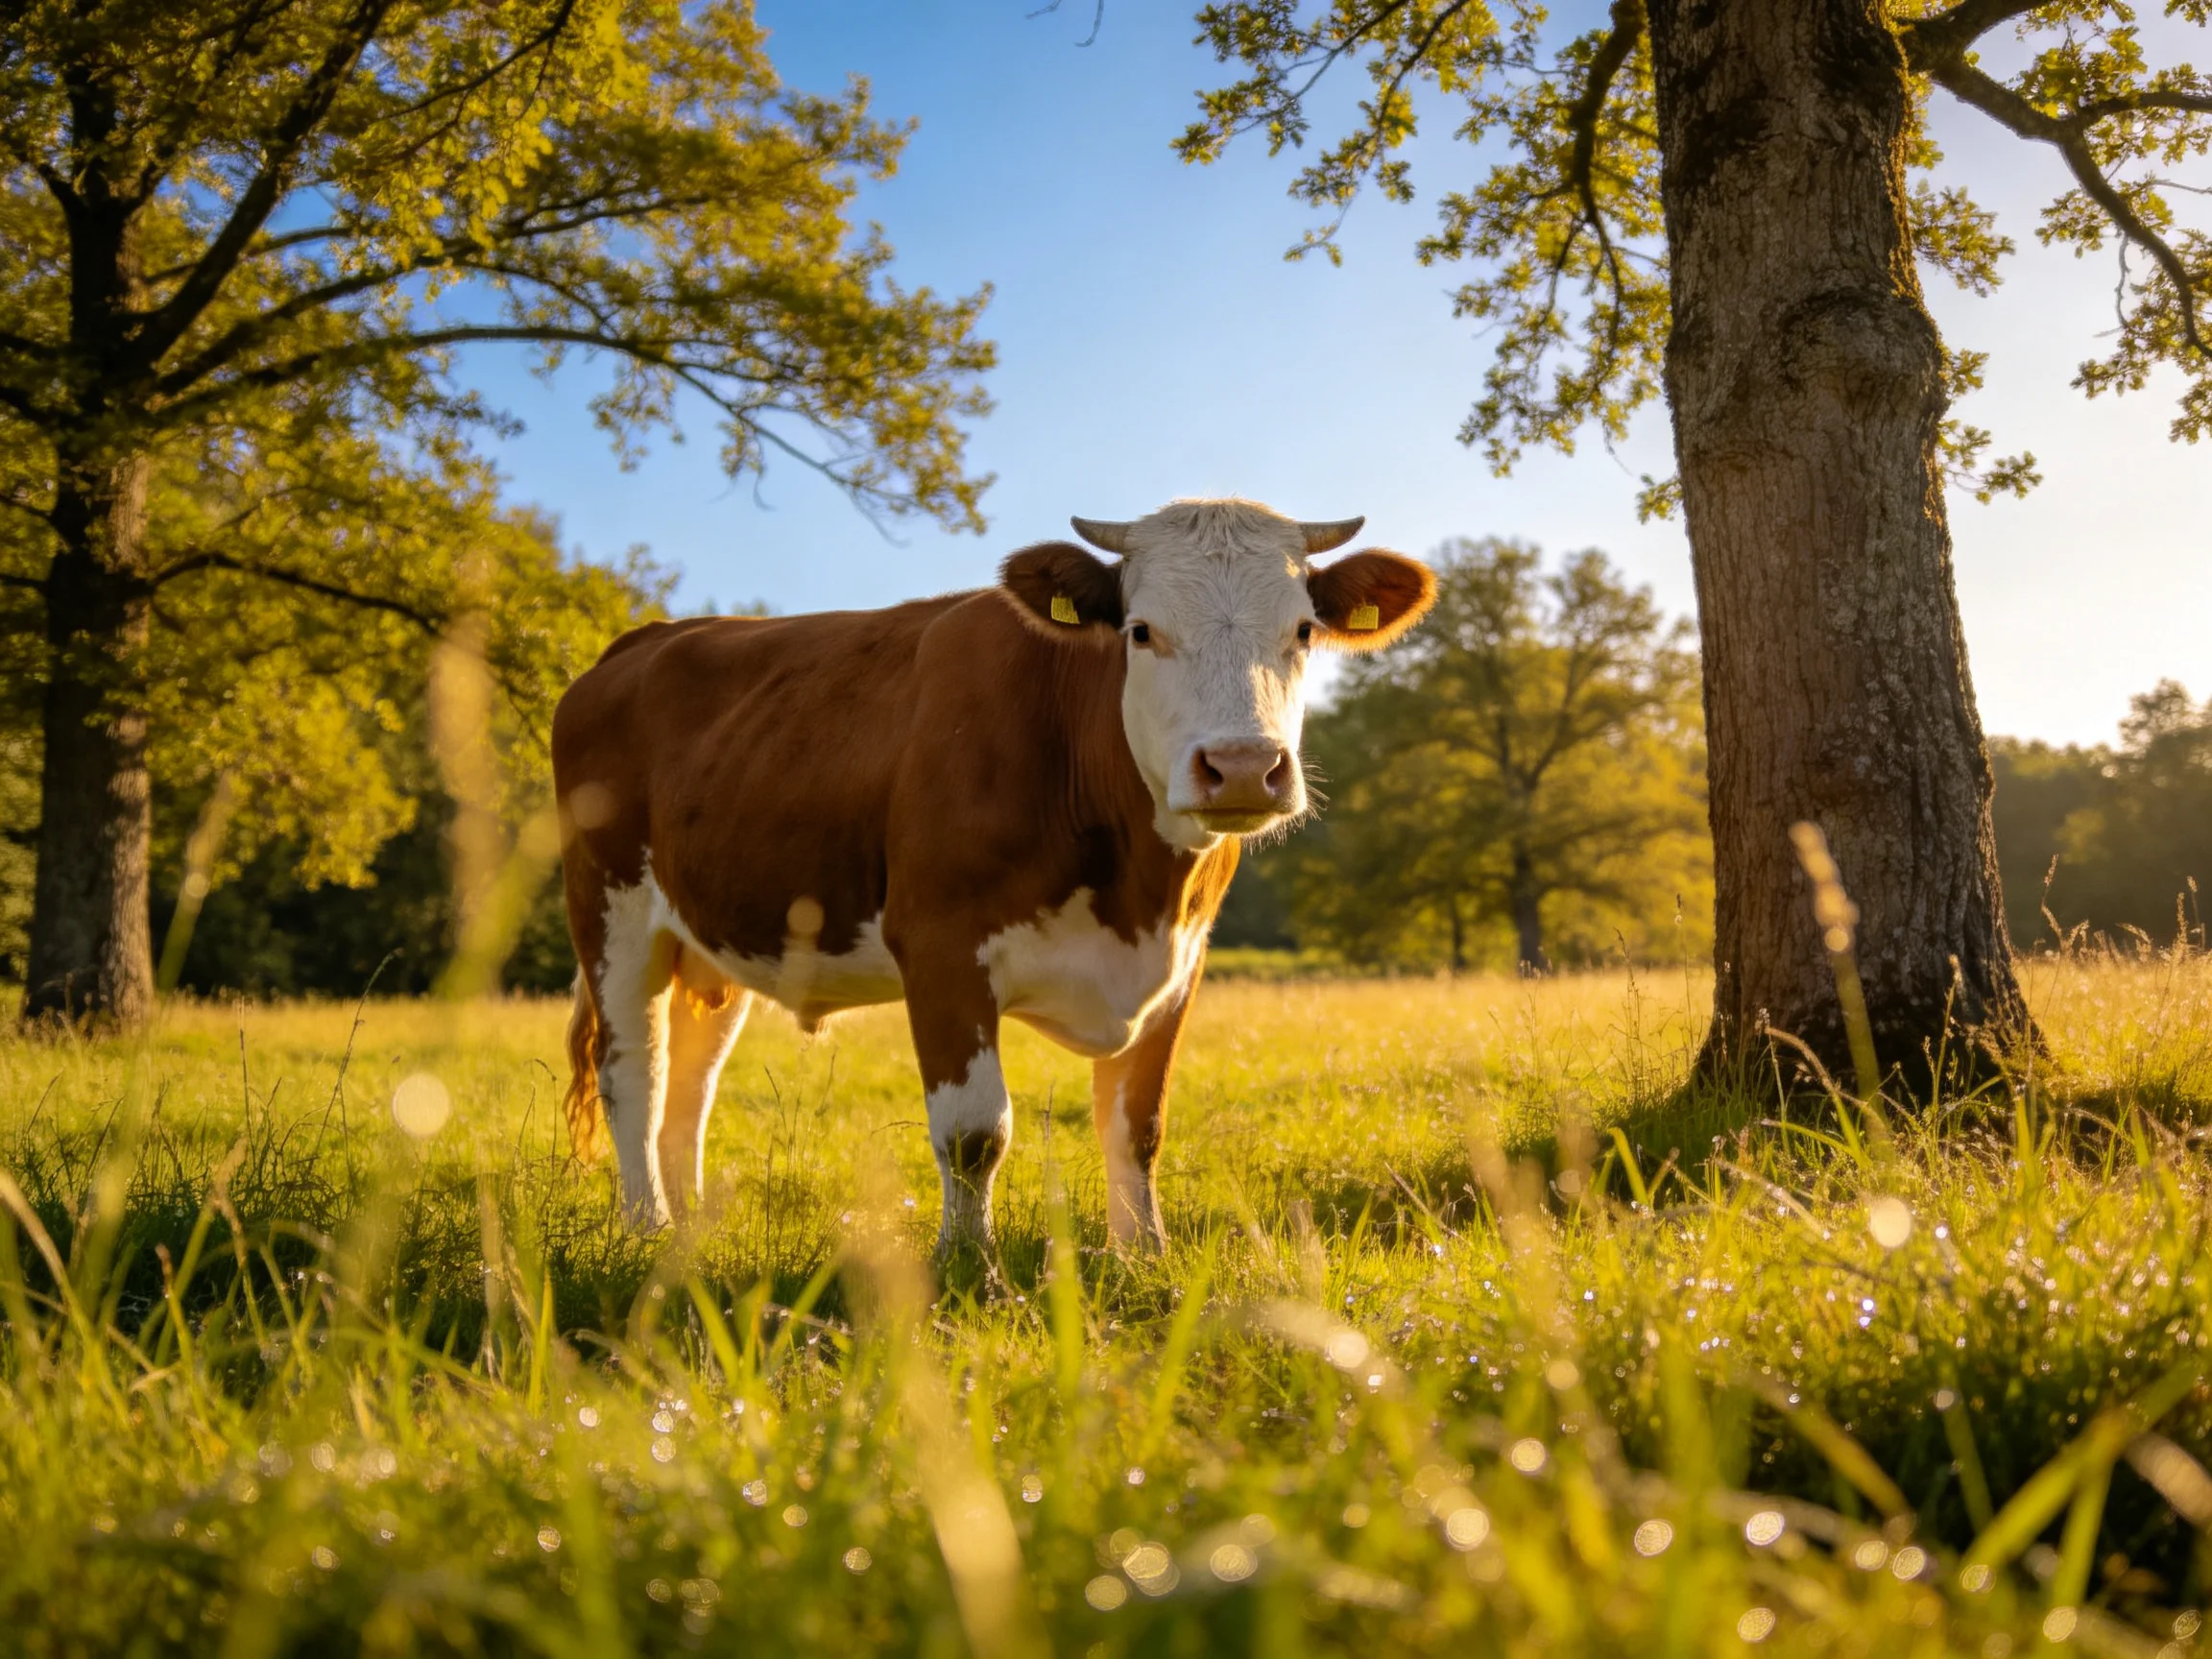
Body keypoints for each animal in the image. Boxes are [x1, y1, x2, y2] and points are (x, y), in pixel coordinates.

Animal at [551, 498, 1435, 1255]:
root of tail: (639, 643)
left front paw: (1142, 1255)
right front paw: (967, 1265)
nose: (1244, 767)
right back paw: (648, 1231)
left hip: (710, 941)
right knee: (634, 1072)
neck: (1137, 889)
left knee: (690, 1086)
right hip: (611, 912)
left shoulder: (1182, 961)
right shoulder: (940, 945)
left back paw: (690, 1236)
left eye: (1303, 631)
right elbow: (975, 1131)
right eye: (1142, 631)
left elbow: (1138, 1124)